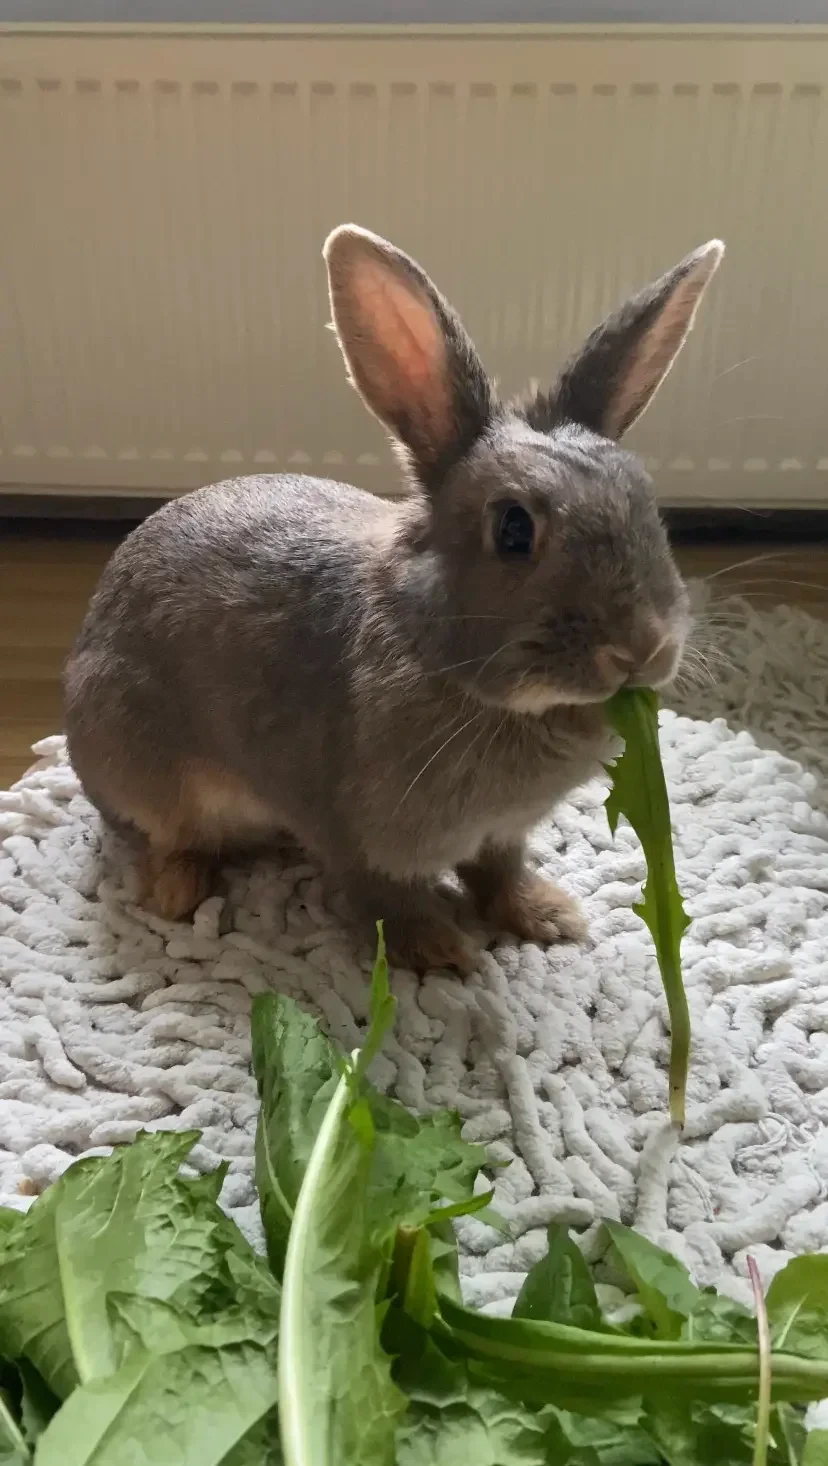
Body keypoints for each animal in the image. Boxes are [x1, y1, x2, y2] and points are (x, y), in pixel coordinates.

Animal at [64, 222, 721, 973]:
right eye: (514, 528)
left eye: (649, 505)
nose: (643, 648)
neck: (430, 646)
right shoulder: (354, 834)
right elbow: (384, 898)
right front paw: (441, 950)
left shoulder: (501, 833)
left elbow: (500, 873)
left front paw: (547, 916)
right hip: (139, 759)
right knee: (171, 836)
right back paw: (176, 894)